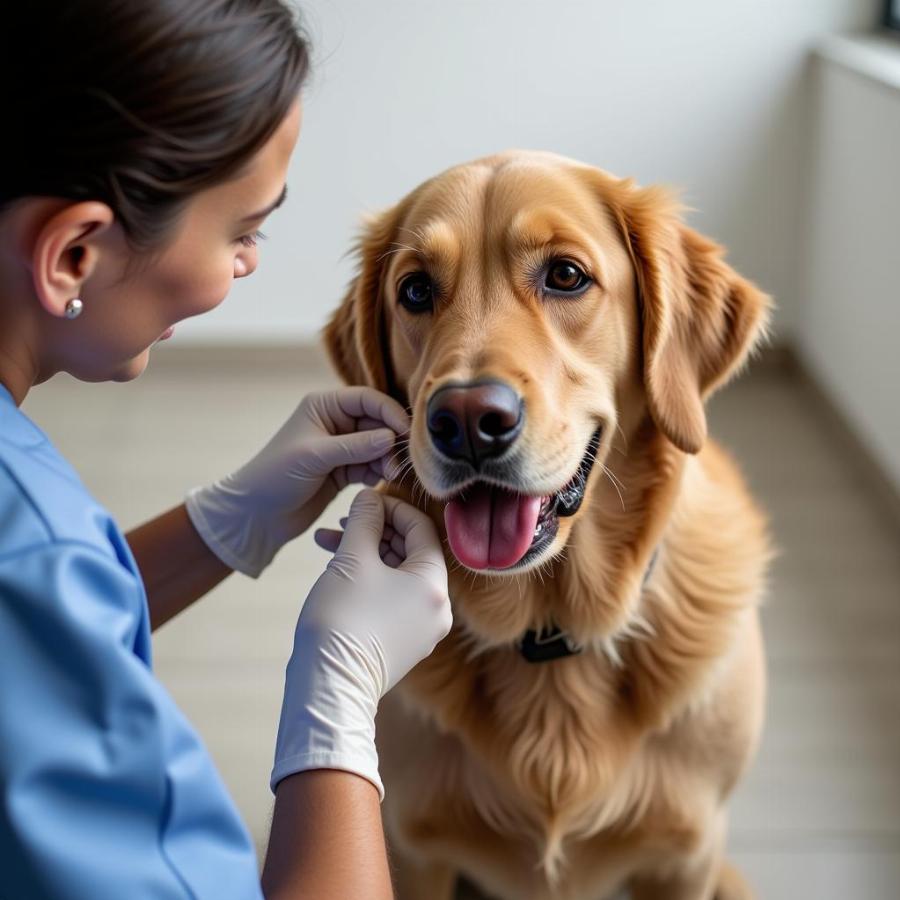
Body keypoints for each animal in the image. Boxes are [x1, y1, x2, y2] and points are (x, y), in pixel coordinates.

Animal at [324, 151, 772, 896]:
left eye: (565, 275)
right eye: (415, 290)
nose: (466, 421)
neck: (551, 638)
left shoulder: (686, 857)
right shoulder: (411, 850)